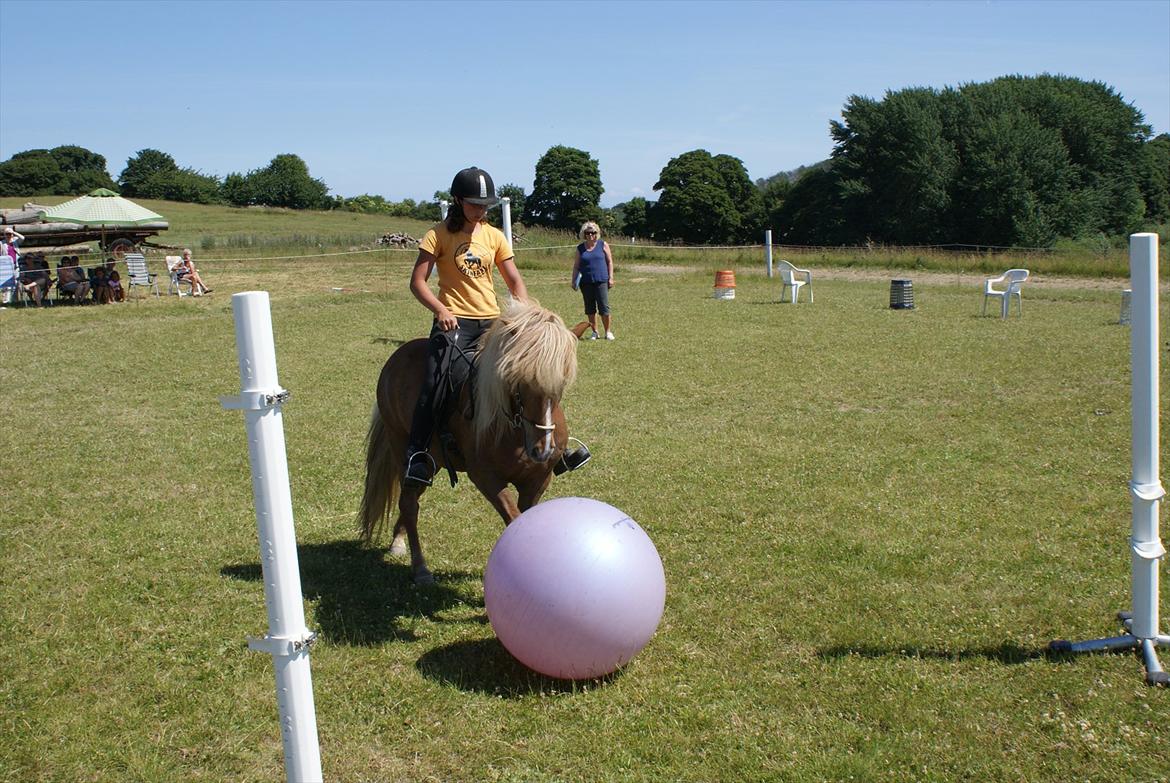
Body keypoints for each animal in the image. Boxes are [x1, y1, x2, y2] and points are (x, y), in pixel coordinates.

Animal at [358, 299, 585, 580]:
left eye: (562, 383)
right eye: (518, 381)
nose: (542, 450)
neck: (514, 429)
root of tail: (396, 358)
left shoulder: (537, 479)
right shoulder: (486, 477)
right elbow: (513, 518)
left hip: (432, 461)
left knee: (411, 499)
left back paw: (398, 541)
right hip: (402, 448)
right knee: (409, 503)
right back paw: (420, 567)